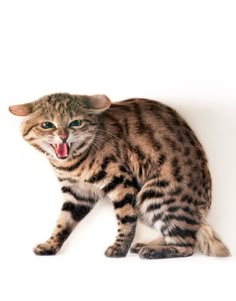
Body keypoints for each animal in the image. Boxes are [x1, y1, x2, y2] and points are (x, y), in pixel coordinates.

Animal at [8, 93, 229, 258]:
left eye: (75, 123)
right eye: (47, 125)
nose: (63, 136)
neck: (71, 164)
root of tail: (203, 211)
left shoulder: (120, 181)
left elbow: (126, 218)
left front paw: (119, 248)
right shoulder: (78, 193)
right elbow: (62, 222)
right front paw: (50, 245)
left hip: (154, 196)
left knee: (187, 245)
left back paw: (152, 250)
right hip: (147, 205)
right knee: (185, 234)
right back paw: (147, 244)